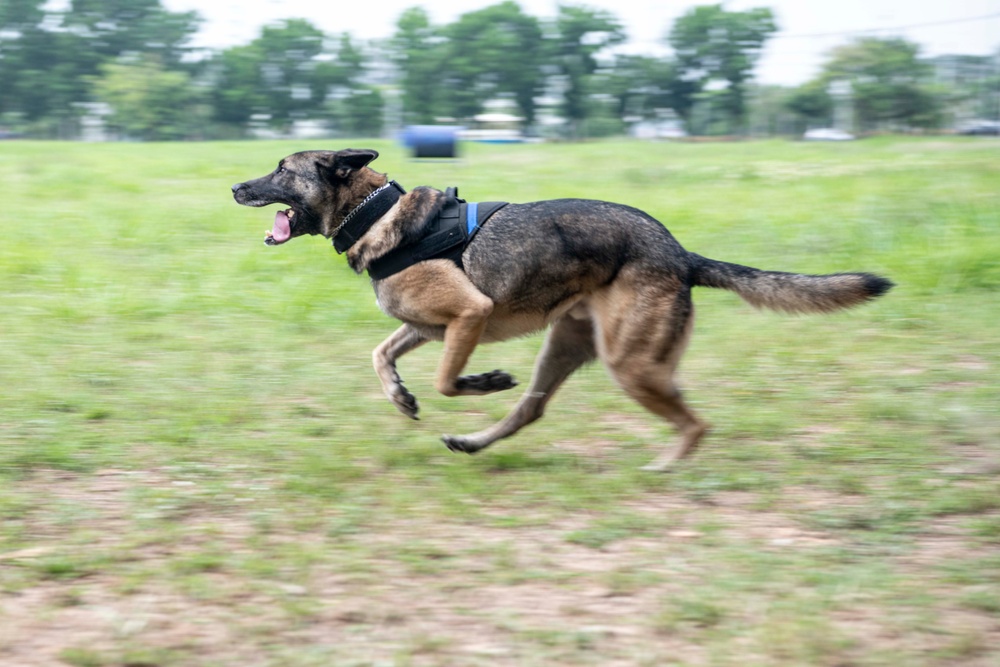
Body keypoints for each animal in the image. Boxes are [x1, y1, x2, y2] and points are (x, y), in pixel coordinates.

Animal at [232, 149, 892, 472]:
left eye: (282, 171)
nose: (236, 188)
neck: (374, 212)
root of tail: (679, 253)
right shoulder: (424, 327)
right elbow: (380, 355)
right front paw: (400, 396)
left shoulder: (467, 316)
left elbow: (447, 379)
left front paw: (481, 380)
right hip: (568, 346)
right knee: (531, 409)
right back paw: (473, 444)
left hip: (631, 364)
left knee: (695, 423)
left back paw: (666, 468)